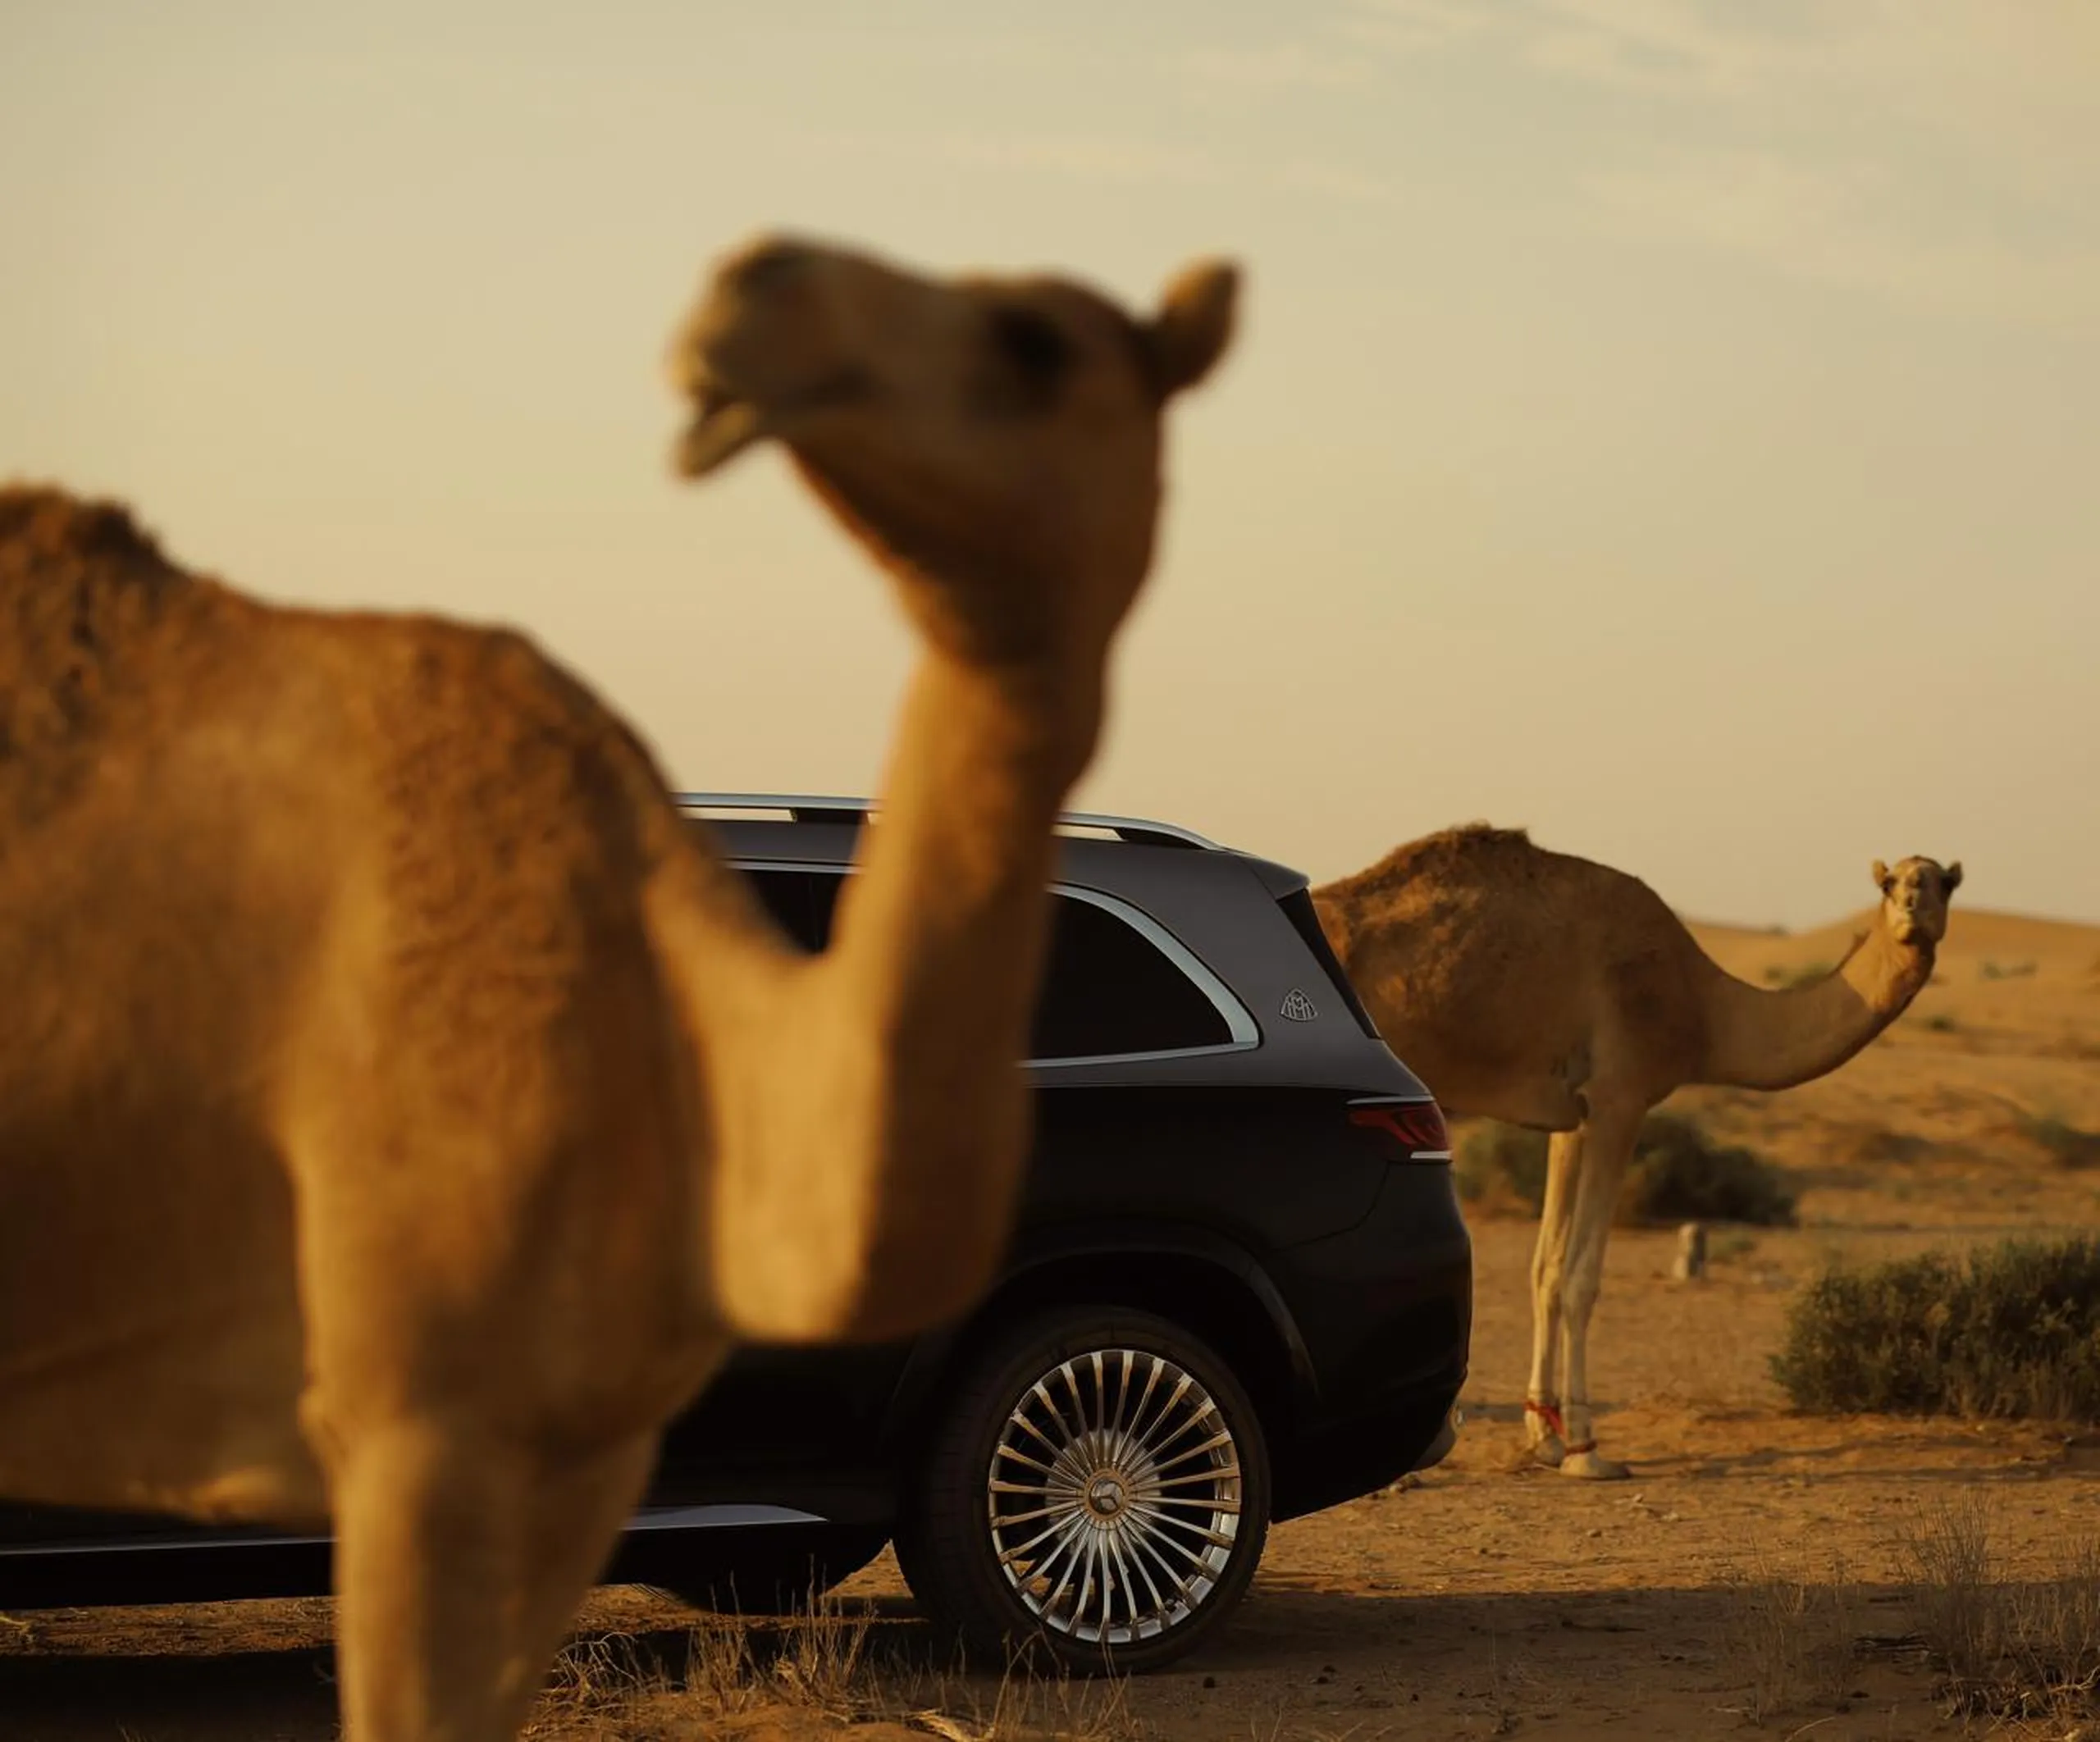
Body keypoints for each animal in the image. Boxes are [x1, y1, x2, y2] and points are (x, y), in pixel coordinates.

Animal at [1314, 826, 1962, 1480]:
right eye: (1890, 882)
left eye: (1942, 882)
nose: (1912, 909)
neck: (1705, 1009)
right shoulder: (1621, 1098)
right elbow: (1582, 1279)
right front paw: (1586, 1449)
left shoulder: (1571, 1116)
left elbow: (1546, 1269)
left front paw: (1544, 1437)